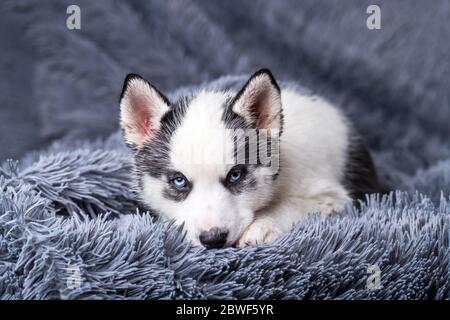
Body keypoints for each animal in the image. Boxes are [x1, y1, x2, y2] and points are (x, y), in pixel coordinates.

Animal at [118, 69, 378, 250]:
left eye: (236, 175)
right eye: (179, 181)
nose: (213, 239)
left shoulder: (331, 196)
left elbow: (293, 204)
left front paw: (263, 225)